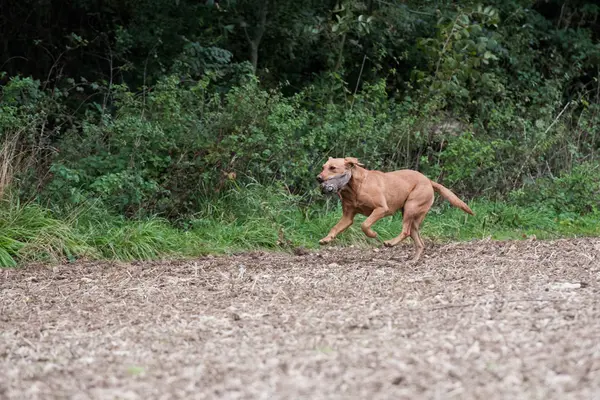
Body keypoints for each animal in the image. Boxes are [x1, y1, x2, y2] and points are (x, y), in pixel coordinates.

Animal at [318, 158, 474, 260]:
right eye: (323, 167)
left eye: (332, 168)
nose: (318, 178)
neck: (356, 187)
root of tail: (428, 180)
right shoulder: (347, 217)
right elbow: (335, 228)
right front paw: (326, 239)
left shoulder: (381, 209)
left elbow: (365, 224)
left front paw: (372, 234)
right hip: (413, 218)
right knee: (419, 242)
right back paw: (413, 261)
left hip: (410, 208)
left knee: (405, 231)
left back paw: (391, 243)